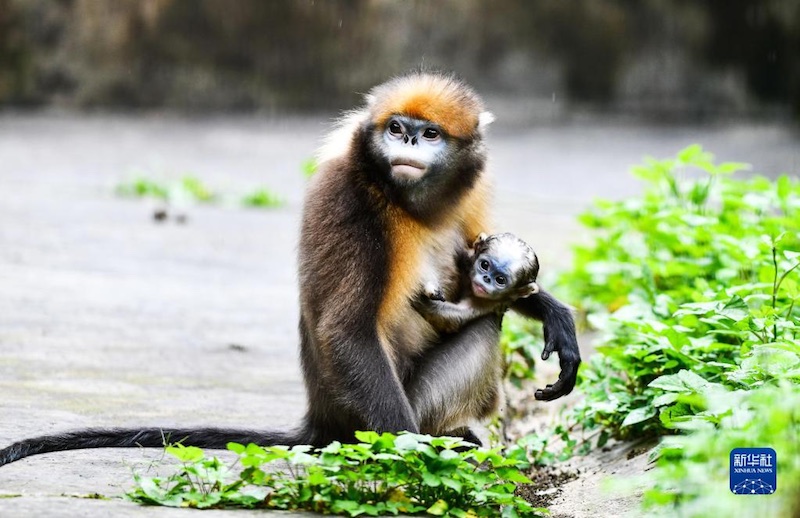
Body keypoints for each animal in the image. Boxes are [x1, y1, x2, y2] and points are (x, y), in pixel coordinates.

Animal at [0, 70, 576, 468]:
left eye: (430, 134)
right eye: (396, 128)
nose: (409, 141)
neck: (410, 204)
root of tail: (322, 422)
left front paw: (551, 311)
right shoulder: (352, 201)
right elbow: (346, 329)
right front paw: (412, 453)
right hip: (380, 414)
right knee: (482, 329)